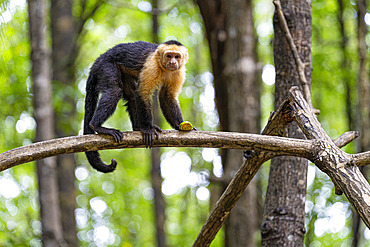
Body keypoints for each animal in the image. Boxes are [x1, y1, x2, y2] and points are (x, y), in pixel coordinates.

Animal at [83, 39, 194, 173]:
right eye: (169, 55)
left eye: (177, 56)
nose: (173, 62)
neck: (163, 67)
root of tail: (98, 60)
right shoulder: (152, 65)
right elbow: (142, 92)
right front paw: (147, 128)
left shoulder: (178, 72)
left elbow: (167, 97)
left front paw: (179, 125)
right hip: (105, 66)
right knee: (115, 90)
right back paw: (97, 126)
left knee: (132, 95)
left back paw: (137, 127)